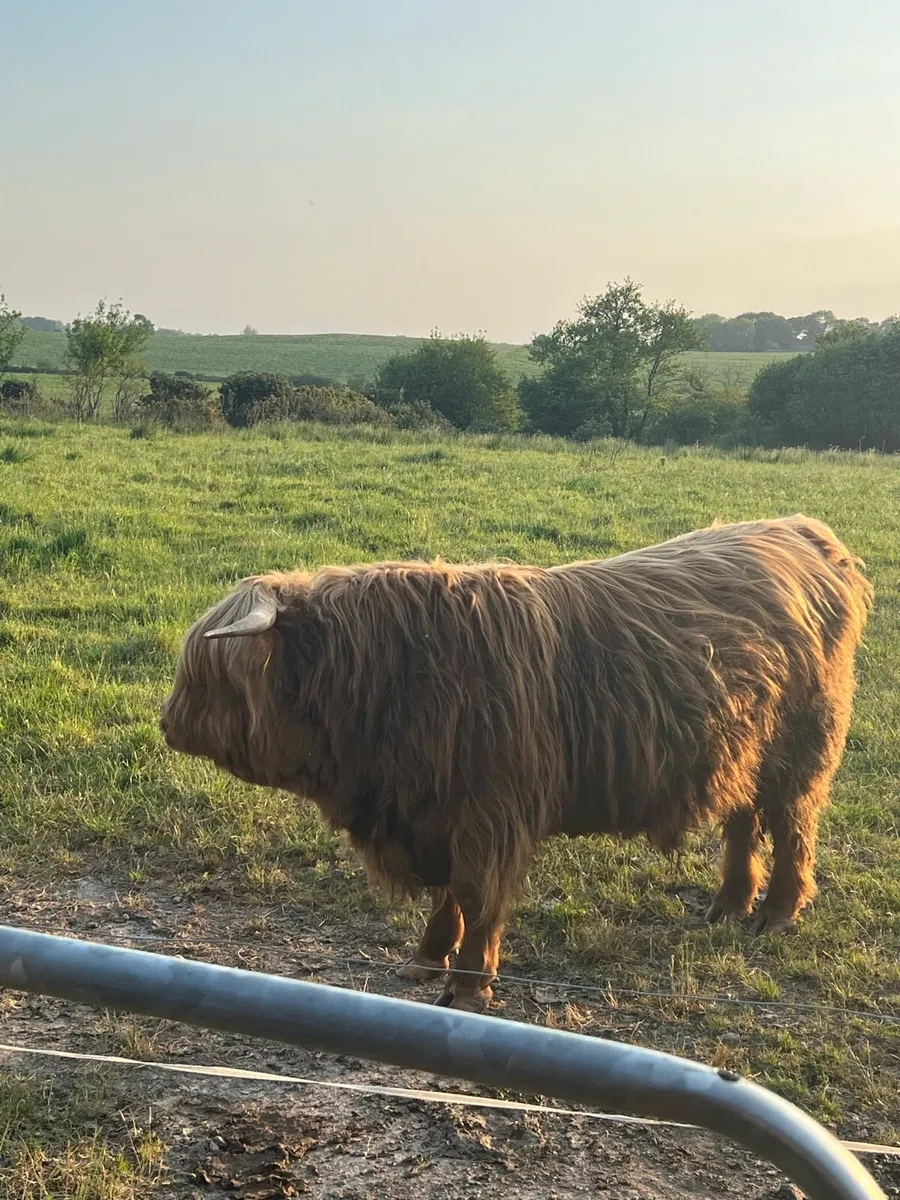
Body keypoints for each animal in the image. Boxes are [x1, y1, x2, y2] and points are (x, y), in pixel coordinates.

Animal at [159, 515, 872, 1012]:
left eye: (208, 671)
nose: (166, 725)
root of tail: (805, 533)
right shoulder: (435, 811)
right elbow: (448, 895)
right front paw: (426, 959)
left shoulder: (489, 814)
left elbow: (479, 898)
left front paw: (472, 986)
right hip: (741, 749)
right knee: (743, 820)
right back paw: (728, 903)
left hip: (802, 748)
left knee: (792, 825)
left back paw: (777, 913)